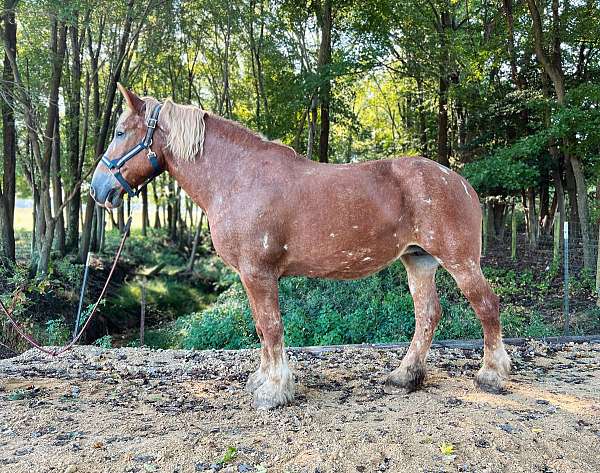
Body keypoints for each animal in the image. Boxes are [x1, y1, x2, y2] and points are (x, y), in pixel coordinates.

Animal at [90, 85, 510, 410]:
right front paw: (263, 381)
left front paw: (274, 391)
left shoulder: (258, 273)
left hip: (460, 261)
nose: (97, 189)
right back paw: (405, 376)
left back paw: (491, 375)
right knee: (428, 315)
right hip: (418, 261)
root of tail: (460, 182)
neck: (237, 178)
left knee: (486, 306)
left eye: (120, 132)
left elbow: (270, 326)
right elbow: (262, 329)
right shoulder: (252, 276)